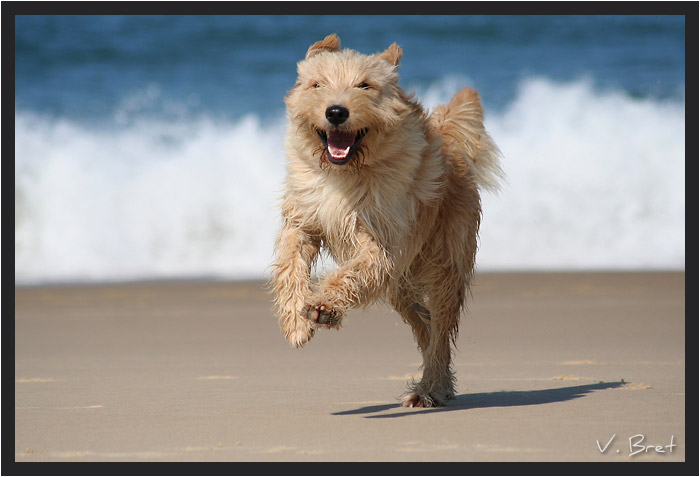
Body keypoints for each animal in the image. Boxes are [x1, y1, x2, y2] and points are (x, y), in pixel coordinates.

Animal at [270, 34, 504, 406]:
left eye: (364, 85)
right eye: (317, 84)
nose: (336, 111)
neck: (343, 174)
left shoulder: (381, 243)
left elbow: (349, 274)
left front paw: (323, 305)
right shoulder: (303, 222)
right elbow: (289, 267)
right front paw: (296, 321)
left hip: (443, 265)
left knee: (440, 328)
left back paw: (430, 388)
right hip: (401, 286)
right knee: (425, 324)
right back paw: (437, 382)